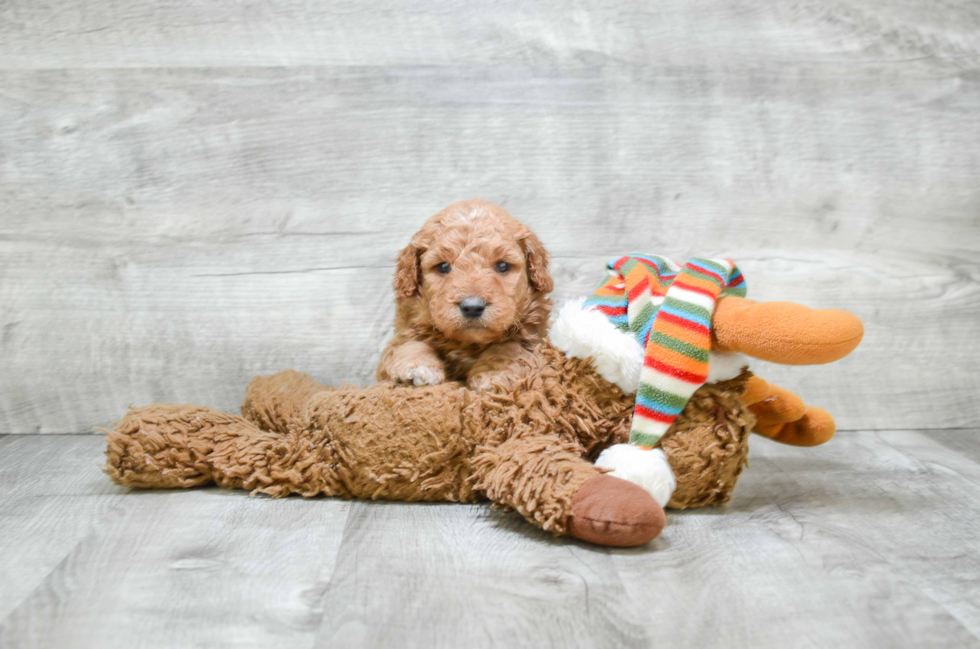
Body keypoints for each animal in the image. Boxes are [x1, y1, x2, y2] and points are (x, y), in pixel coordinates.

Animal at [378, 197, 556, 390]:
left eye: (502, 265)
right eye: (443, 266)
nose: (472, 307)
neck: (467, 344)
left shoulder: (536, 339)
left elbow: (511, 347)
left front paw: (495, 372)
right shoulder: (404, 333)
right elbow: (409, 344)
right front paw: (418, 367)